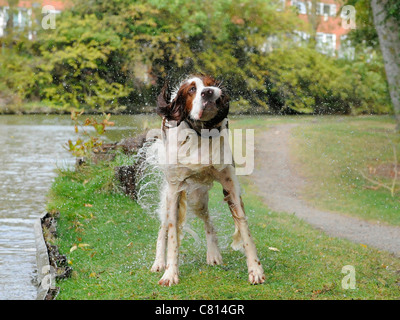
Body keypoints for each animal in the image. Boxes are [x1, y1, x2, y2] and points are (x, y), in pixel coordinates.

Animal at [148, 74, 264, 284]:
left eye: (211, 84)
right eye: (192, 90)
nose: (208, 92)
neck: (201, 133)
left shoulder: (230, 184)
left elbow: (244, 229)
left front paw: (255, 270)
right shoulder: (175, 190)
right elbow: (172, 237)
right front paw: (170, 273)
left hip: (197, 198)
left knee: (208, 221)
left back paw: (214, 254)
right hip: (172, 197)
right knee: (164, 228)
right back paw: (159, 262)